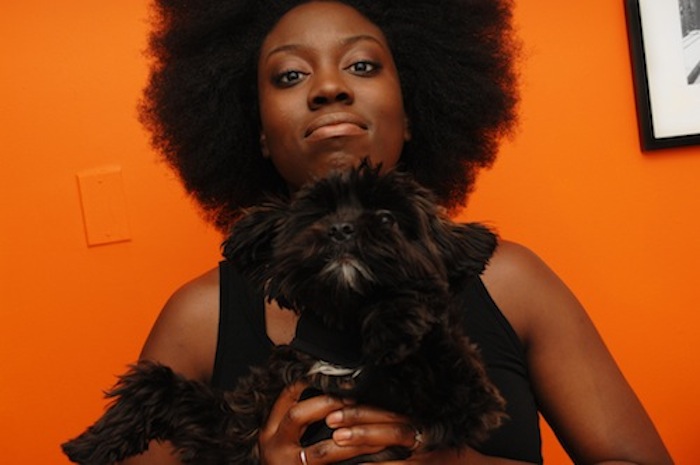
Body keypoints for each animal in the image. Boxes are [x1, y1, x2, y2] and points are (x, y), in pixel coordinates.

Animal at [62, 163, 506, 464]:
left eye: (387, 218)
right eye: (318, 215)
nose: (341, 229)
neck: (341, 338)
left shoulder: (468, 405)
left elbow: (431, 330)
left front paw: (393, 323)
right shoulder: (235, 433)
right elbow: (155, 384)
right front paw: (93, 442)